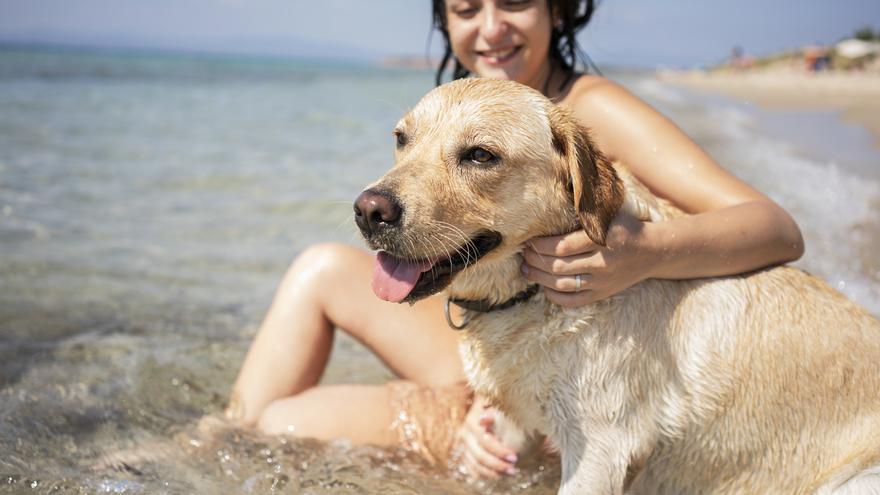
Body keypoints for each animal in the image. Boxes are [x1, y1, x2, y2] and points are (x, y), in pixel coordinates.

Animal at [352, 79, 880, 494]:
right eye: (401, 139)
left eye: (480, 155)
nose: (368, 210)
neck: (529, 298)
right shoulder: (513, 427)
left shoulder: (599, 451)